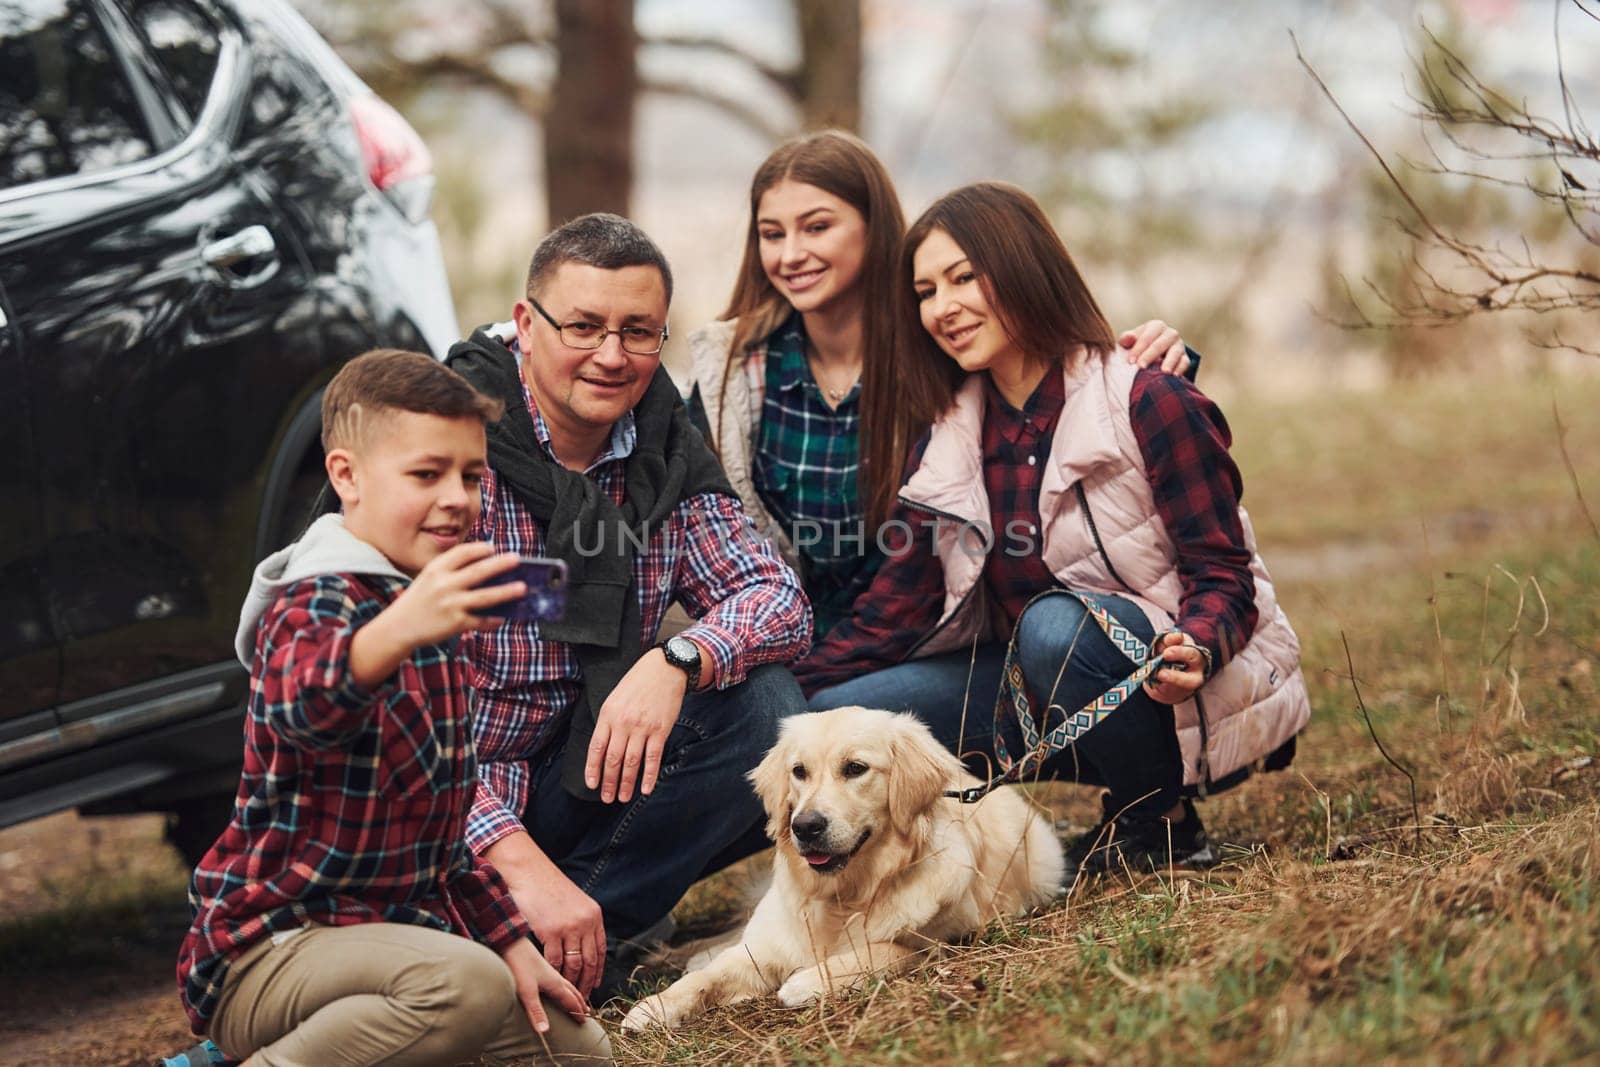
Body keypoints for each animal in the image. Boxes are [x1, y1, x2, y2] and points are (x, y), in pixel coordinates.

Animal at [620, 703, 1062, 1030]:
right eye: (798, 772)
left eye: (855, 768)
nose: (805, 826)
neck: (842, 895)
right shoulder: (765, 945)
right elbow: (708, 977)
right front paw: (656, 1006)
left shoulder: (942, 942)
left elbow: (881, 950)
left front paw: (808, 980)